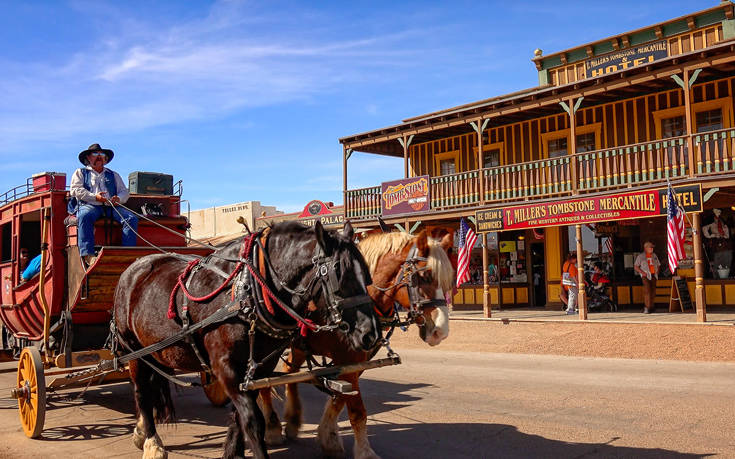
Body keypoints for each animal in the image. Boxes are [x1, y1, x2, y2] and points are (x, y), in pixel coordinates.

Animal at [114, 221, 382, 458]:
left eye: (366, 275)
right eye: (339, 274)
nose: (370, 334)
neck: (248, 291)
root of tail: (134, 267)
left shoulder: (260, 368)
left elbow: (238, 417)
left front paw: (234, 452)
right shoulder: (226, 367)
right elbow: (253, 421)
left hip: (155, 352)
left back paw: (141, 433)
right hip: (133, 351)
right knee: (141, 392)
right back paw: (151, 442)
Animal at [258, 230, 454, 459]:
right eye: (424, 277)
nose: (440, 331)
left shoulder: (355, 362)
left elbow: (340, 396)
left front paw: (328, 437)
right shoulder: (348, 360)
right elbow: (357, 410)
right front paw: (364, 451)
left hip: (298, 346)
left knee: (289, 372)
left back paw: (292, 420)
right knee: (265, 382)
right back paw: (272, 428)